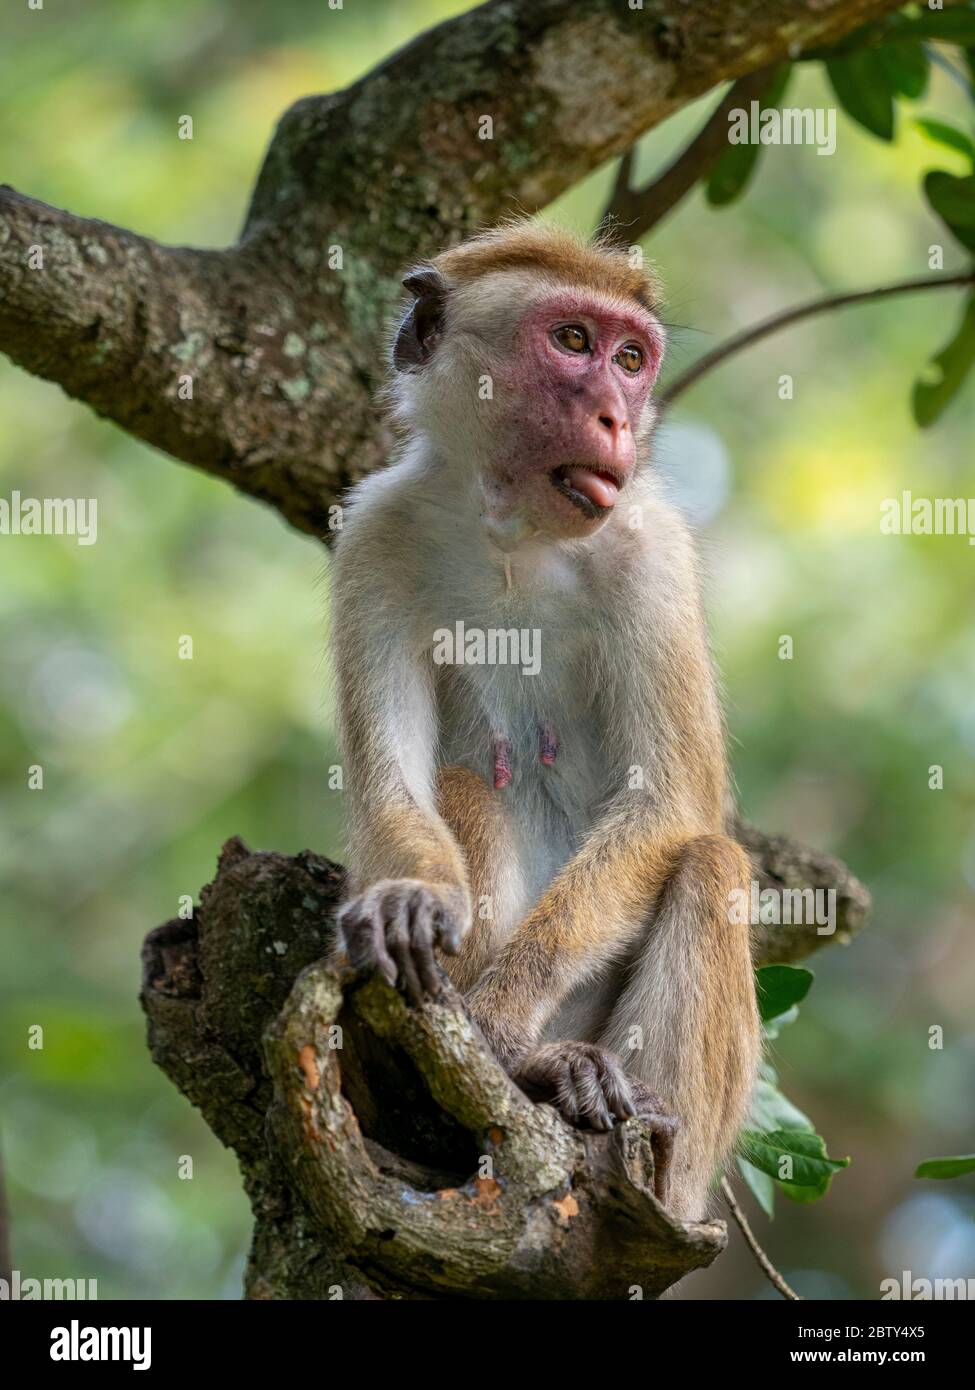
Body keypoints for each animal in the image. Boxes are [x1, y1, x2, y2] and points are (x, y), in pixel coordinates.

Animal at [330, 219, 760, 1222]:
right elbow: (388, 787)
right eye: (572, 342)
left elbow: (667, 805)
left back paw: (613, 1123)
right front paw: (410, 901)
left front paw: (495, 1024)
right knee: (461, 785)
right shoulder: (373, 532)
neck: (515, 533)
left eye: (631, 360)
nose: (614, 418)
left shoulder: (651, 552)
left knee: (709, 865)